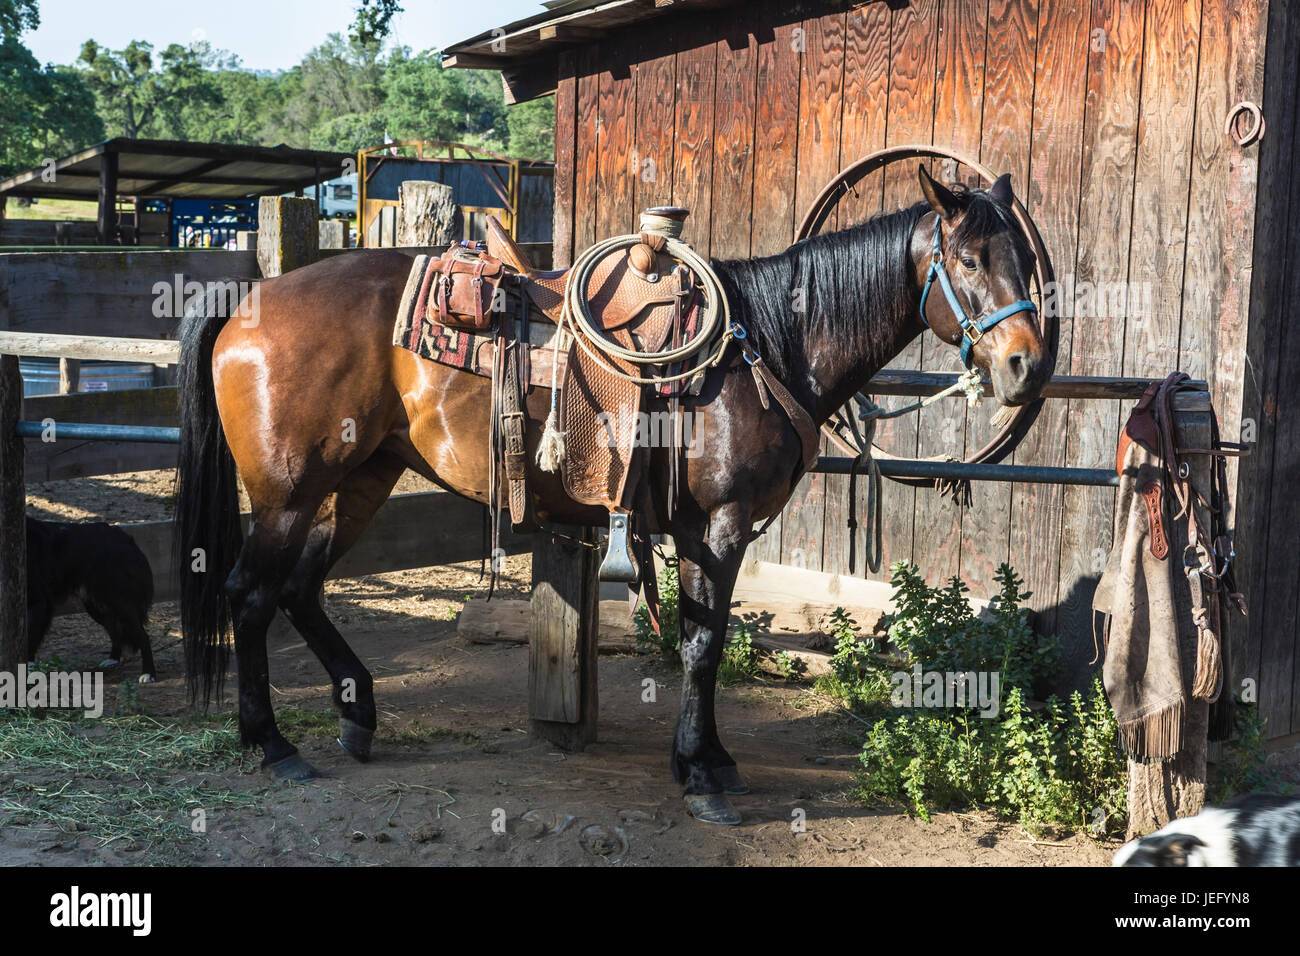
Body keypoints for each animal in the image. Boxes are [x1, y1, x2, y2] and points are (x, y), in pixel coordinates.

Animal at [175, 165, 1051, 825]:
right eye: (968, 259)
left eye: (1023, 257)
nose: (1026, 367)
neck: (765, 346)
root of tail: (245, 306)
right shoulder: (717, 529)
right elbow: (702, 645)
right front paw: (699, 775)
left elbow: (705, 640)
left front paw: (713, 758)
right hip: (289, 494)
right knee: (250, 593)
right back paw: (272, 743)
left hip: (357, 481)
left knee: (300, 588)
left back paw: (357, 718)